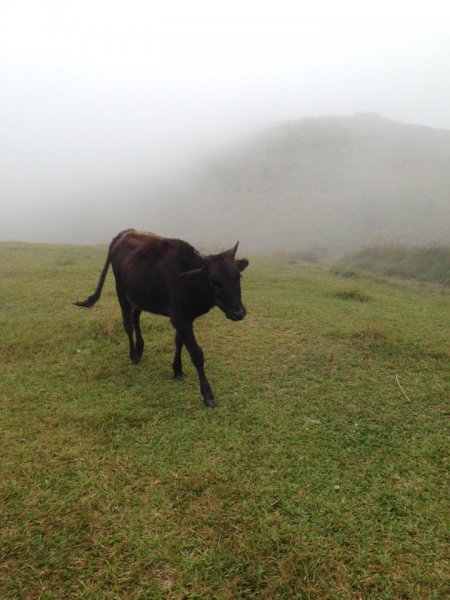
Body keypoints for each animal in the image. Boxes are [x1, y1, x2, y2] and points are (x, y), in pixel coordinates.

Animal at [74, 230, 250, 408]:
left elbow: (178, 342)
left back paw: (140, 348)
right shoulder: (180, 319)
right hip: (121, 290)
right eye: (214, 282)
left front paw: (177, 369)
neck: (190, 283)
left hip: (139, 295)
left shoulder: (183, 317)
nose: (238, 313)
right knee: (128, 324)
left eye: (238, 277)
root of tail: (126, 232)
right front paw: (207, 394)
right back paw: (133, 355)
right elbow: (196, 353)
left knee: (135, 315)